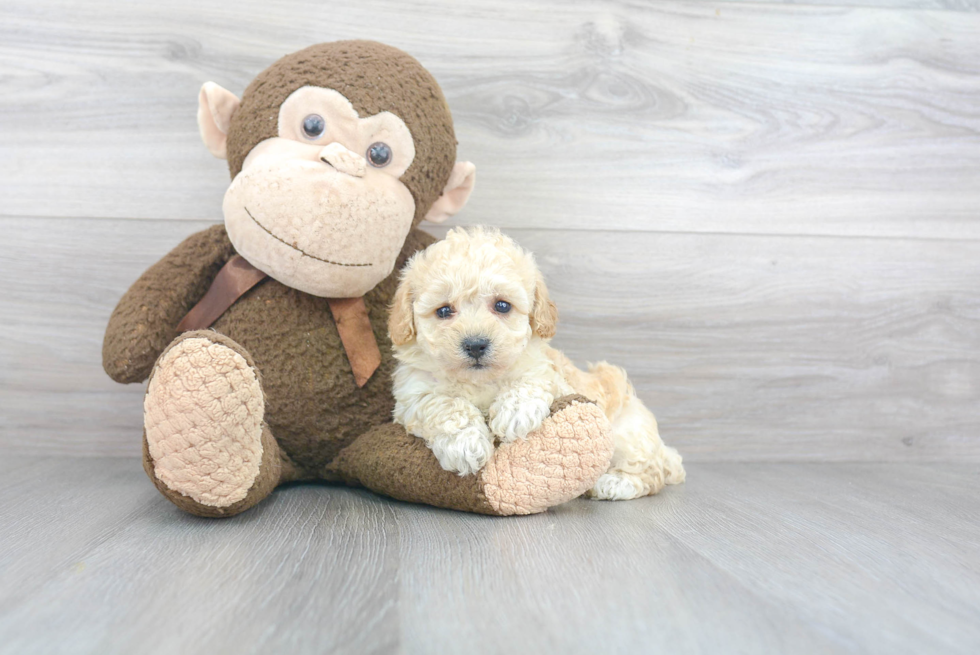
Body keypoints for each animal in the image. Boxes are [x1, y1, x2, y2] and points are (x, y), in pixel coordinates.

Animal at [386, 227, 684, 502]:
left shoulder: (549, 372)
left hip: (629, 433)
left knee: (652, 472)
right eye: (444, 310)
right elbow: (444, 405)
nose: (475, 344)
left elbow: (531, 380)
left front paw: (514, 414)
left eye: (502, 306)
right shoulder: (414, 393)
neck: (480, 381)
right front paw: (466, 444)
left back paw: (614, 483)